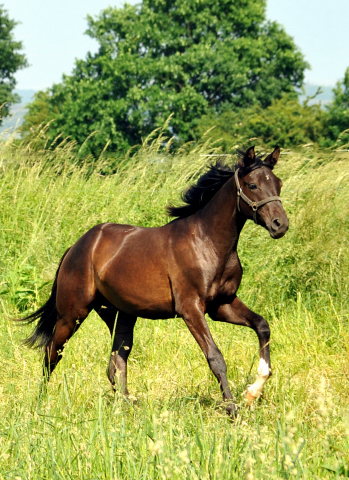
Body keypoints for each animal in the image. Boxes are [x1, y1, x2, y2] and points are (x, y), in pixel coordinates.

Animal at [16, 143, 286, 416]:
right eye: (252, 185)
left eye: (278, 183)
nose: (280, 225)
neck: (208, 243)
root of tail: (77, 246)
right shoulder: (191, 309)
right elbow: (215, 357)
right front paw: (233, 410)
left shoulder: (222, 305)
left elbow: (262, 325)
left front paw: (253, 392)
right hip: (72, 314)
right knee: (52, 353)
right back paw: (39, 404)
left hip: (120, 316)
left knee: (116, 362)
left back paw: (126, 406)